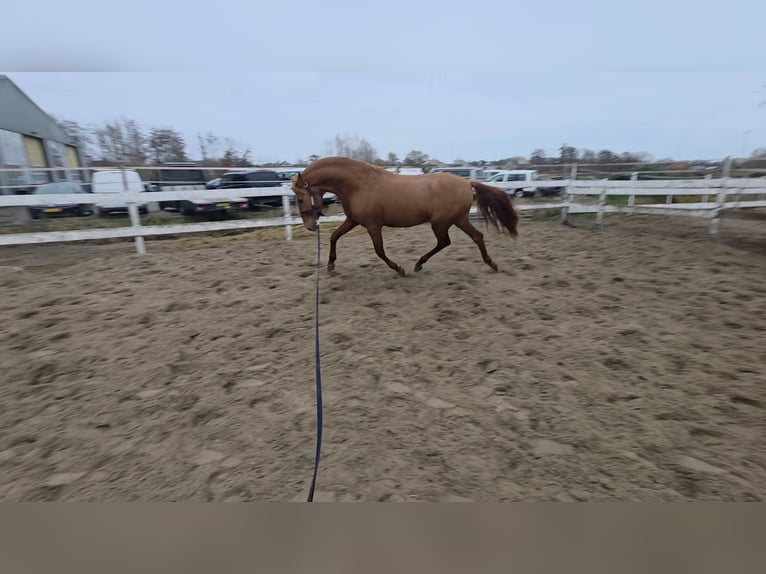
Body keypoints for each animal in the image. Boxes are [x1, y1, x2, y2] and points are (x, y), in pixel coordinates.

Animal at [290, 156, 519, 276]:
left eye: (300, 199)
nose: (310, 226)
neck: (359, 185)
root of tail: (466, 182)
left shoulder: (373, 225)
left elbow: (379, 251)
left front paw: (399, 269)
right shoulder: (353, 221)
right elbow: (334, 237)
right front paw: (330, 265)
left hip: (441, 222)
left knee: (444, 242)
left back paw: (418, 264)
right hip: (458, 219)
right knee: (477, 237)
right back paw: (491, 264)